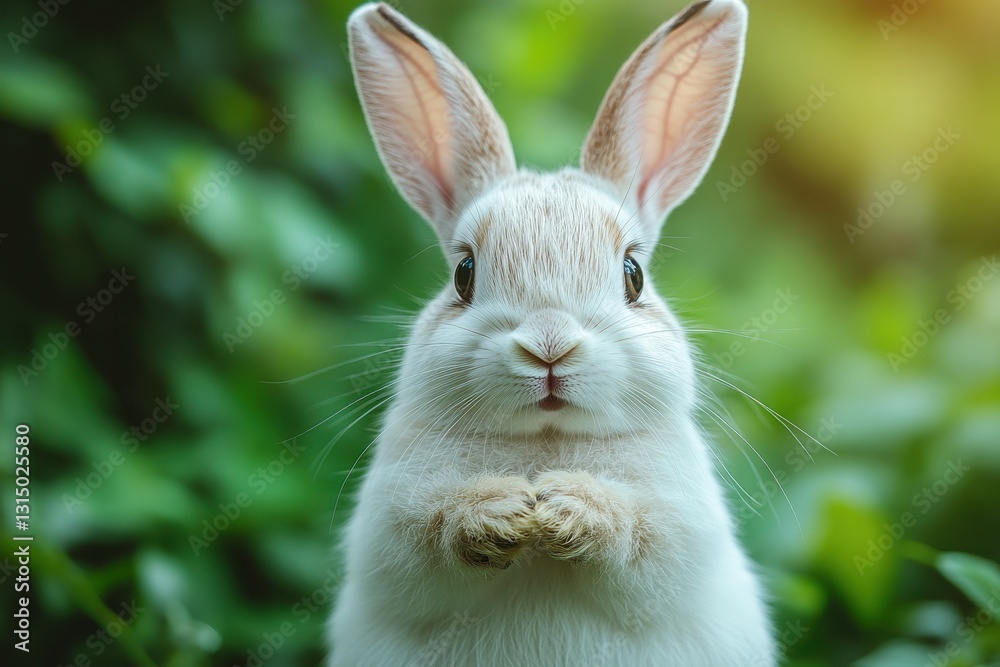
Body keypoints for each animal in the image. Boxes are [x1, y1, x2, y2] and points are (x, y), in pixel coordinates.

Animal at [330, 1, 776, 665]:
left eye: (633, 275)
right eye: (463, 274)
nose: (549, 347)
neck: (545, 439)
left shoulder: (685, 526)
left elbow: (645, 544)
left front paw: (569, 509)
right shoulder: (387, 527)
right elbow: (425, 542)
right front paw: (500, 511)